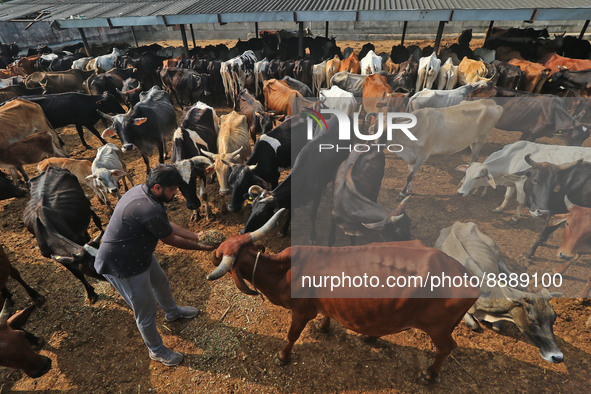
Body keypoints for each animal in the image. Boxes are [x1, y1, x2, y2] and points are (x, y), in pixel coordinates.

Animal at [23, 168, 105, 304]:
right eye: (92, 267)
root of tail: (49, 169)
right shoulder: (57, 256)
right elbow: (78, 274)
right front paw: (90, 293)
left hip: (86, 202)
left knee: (96, 219)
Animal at [208, 211, 480, 384]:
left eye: (220, 252)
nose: (211, 254)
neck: (284, 271)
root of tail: (464, 274)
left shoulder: (301, 311)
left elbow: (291, 336)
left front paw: (282, 357)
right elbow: (326, 316)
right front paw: (323, 327)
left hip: (438, 329)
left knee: (447, 348)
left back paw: (429, 374)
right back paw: (372, 337)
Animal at [458, 141, 591, 222]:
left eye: (477, 177)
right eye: (466, 173)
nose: (460, 192)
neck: (512, 157)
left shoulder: (521, 184)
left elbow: (519, 202)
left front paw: (515, 218)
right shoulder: (512, 182)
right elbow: (507, 196)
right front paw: (499, 209)